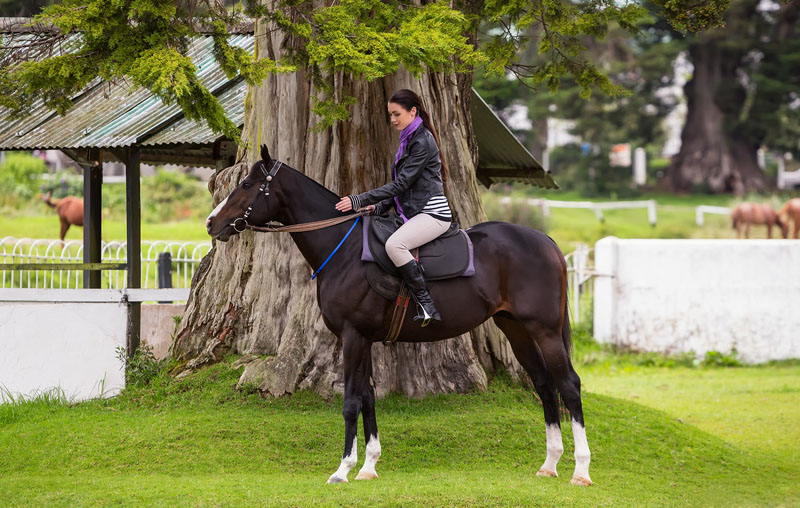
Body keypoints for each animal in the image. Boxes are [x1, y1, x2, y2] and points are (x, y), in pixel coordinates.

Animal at [205, 145, 592, 486]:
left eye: (246, 185)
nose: (211, 223)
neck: (344, 250)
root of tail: (545, 241)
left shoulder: (353, 337)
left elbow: (351, 401)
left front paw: (342, 470)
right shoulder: (363, 339)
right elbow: (368, 398)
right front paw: (368, 466)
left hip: (544, 330)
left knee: (568, 385)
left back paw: (580, 470)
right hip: (516, 330)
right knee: (544, 384)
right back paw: (550, 464)